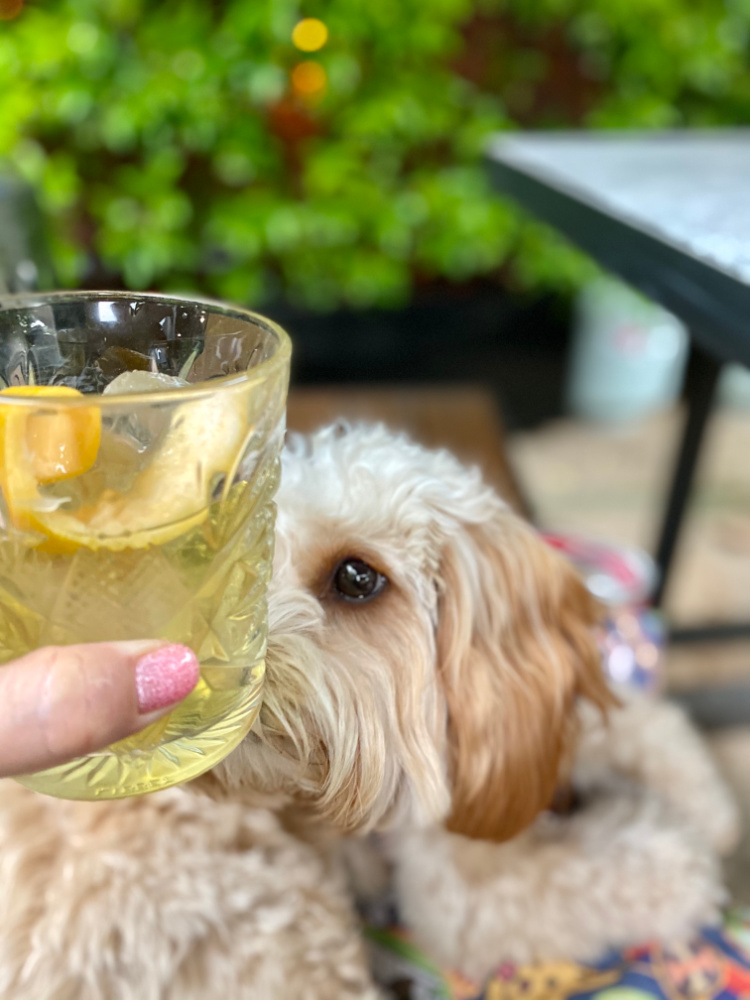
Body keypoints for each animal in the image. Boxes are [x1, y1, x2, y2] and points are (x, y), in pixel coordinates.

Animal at [0, 424, 740, 1000]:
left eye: (357, 578)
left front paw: (696, 791)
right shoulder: (457, 893)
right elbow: (632, 875)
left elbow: (639, 725)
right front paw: (685, 859)